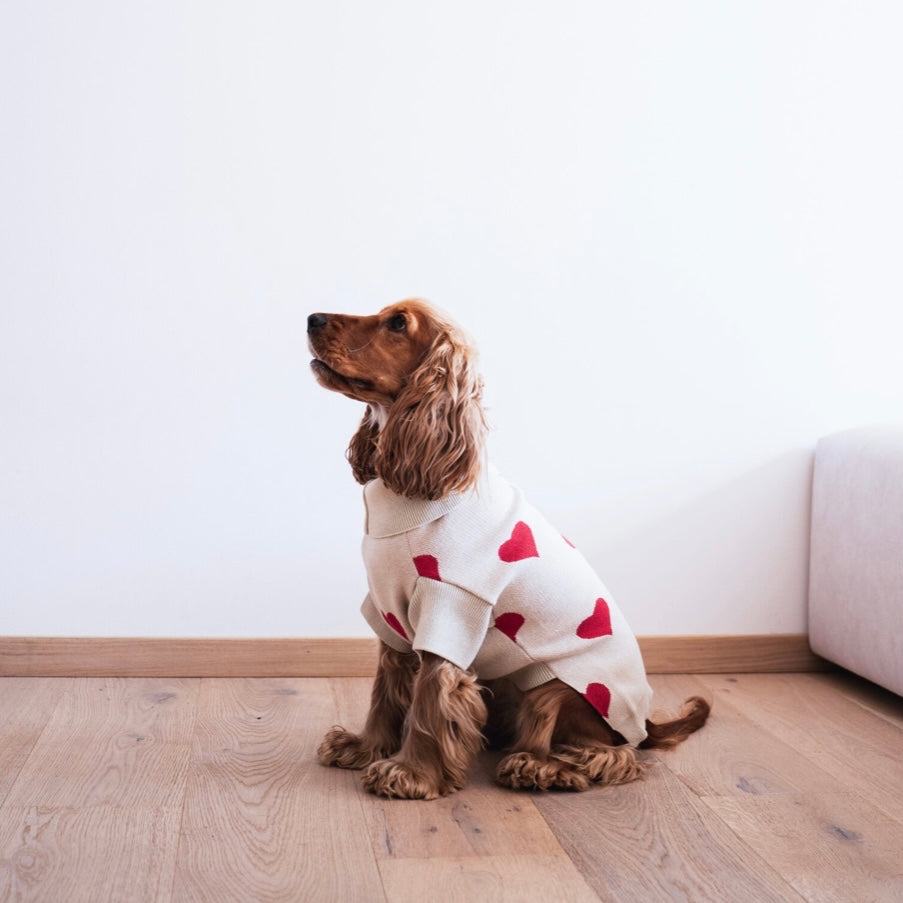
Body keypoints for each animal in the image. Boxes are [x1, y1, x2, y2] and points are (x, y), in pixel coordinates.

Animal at [310, 298, 712, 800]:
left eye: (399, 323)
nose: (312, 319)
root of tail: (644, 722)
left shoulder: (450, 610)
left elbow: (427, 700)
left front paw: (412, 773)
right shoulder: (390, 615)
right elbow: (385, 692)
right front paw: (364, 747)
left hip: (556, 687)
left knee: (610, 753)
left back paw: (541, 766)